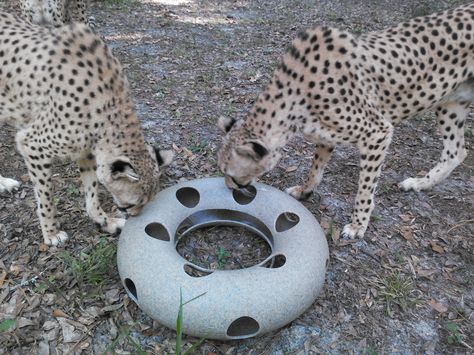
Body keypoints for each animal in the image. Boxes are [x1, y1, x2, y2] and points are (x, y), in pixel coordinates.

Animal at [0, 13, 174, 246]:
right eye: (132, 204)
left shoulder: (88, 152)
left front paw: (103, 220)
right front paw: (51, 233)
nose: (135, 216)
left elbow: (92, 190)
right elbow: (46, 196)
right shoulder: (32, 144)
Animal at [217, 3, 472, 239]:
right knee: (457, 151)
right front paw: (305, 190)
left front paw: (358, 225)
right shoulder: (325, 135)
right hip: (451, 104)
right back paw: (420, 184)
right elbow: (316, 167)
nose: (229, 190)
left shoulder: (377, 132)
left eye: (232, 176)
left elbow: (366, 186)